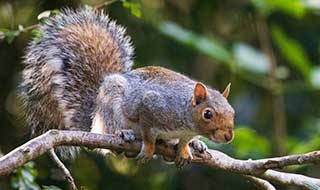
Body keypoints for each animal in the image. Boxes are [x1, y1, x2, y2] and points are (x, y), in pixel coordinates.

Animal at [20, 8, 235, 167]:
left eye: (232, 112)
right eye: (207, 114)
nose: (228, 136)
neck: (185, 115)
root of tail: (94, 120)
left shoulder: (184, 133)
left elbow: (183, 142)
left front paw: (184, 149)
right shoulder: (152, 105)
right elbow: (148, 133)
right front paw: (148, 148)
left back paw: (196, 144)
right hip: (110, 108)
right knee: (111, 134)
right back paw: (124, 134)